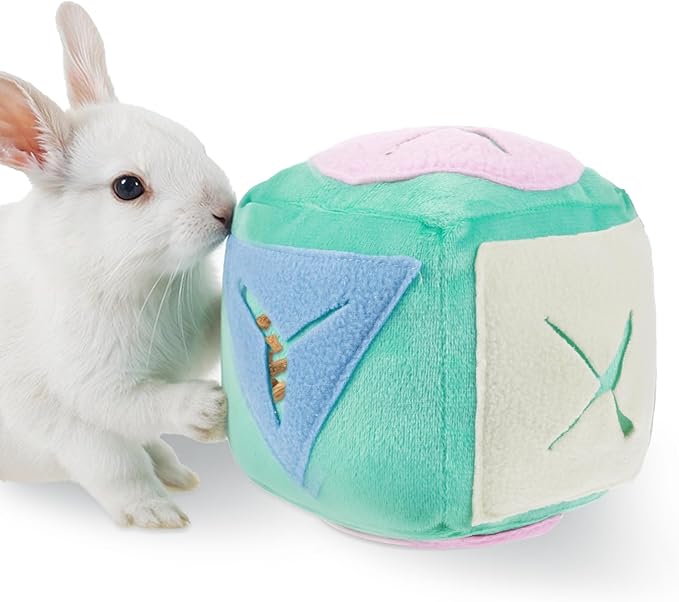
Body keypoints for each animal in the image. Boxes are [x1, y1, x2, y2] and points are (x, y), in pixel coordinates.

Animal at [0, 2, 235, 528]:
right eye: (128, 187)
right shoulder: (91, 390)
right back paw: (160, 508)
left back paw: (178, 476)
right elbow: (133, 415)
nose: (227, 210)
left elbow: (215, 323)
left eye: (193, 140)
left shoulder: (192, 336)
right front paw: (207, 411)